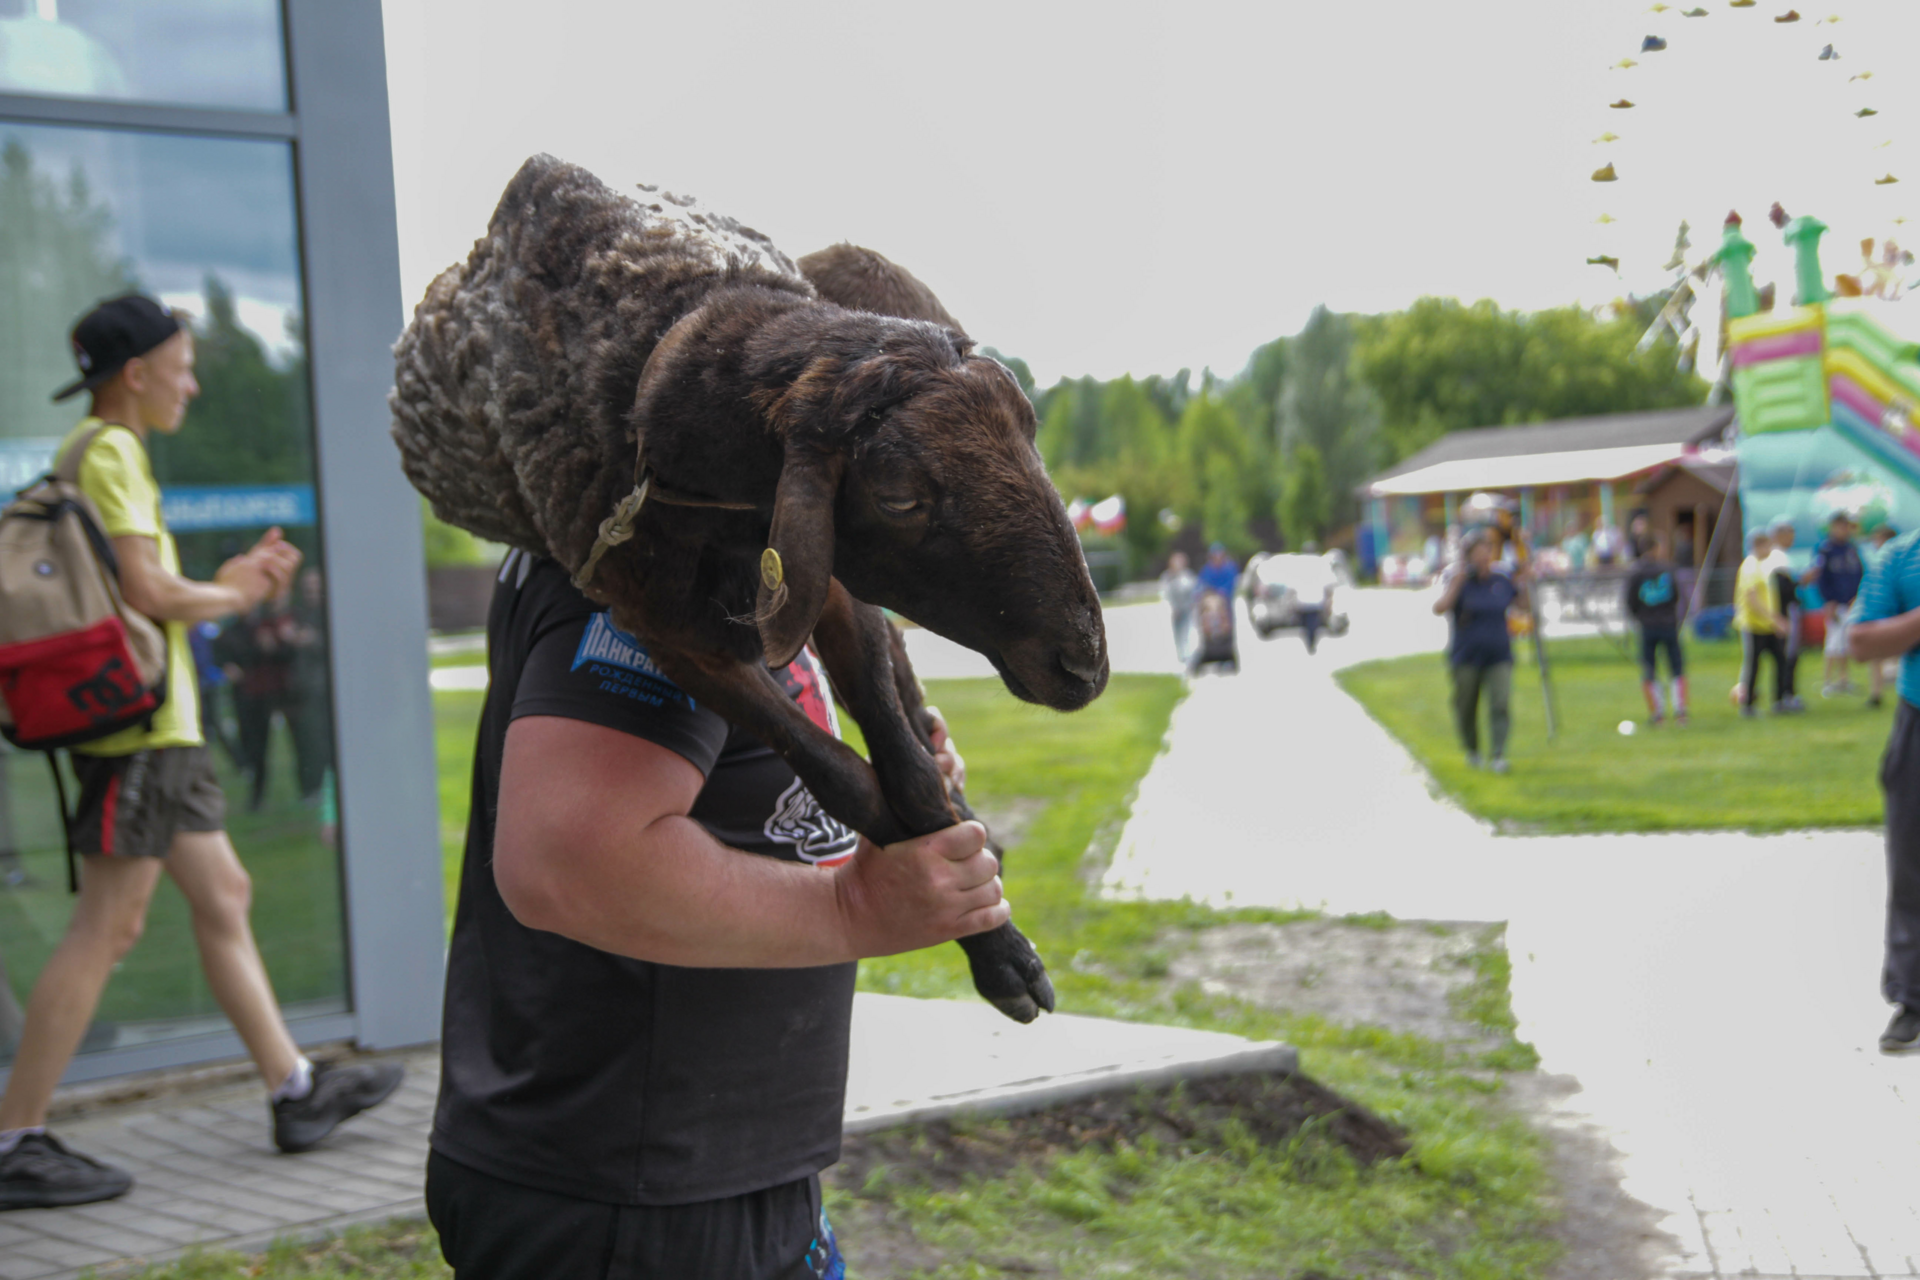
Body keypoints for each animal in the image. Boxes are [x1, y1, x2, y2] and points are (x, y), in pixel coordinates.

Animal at [385, 157, 1113, 1020]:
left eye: (1032, 434)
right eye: (899, 495)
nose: (1084, 665)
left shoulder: (823, 580)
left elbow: (900, 752)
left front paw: (997, 935)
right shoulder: (669, 633)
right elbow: (840, 772)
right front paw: (971, 922)